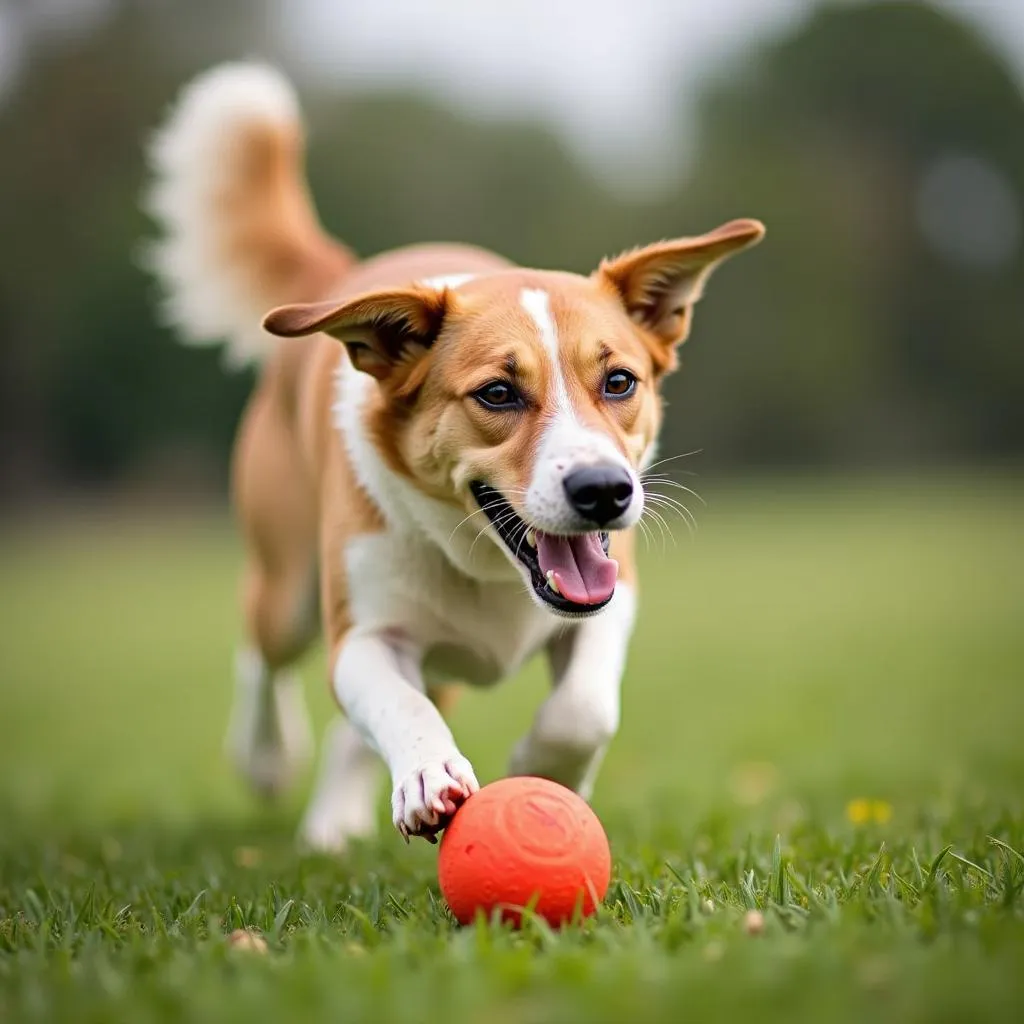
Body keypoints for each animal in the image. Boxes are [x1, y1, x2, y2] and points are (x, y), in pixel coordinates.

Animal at [144, 61, 765, 847]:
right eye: (497, 394)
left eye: (620, 381)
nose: (604, 491)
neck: (486, 568)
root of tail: (350, 271)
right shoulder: (363, 632)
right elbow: (396, 702)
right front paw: (427, 777)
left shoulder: (609, 599)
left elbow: (585, 710)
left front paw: (544, 771)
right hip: (287, 576)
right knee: (262, 647)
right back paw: (269, 760)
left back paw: (333, 825)